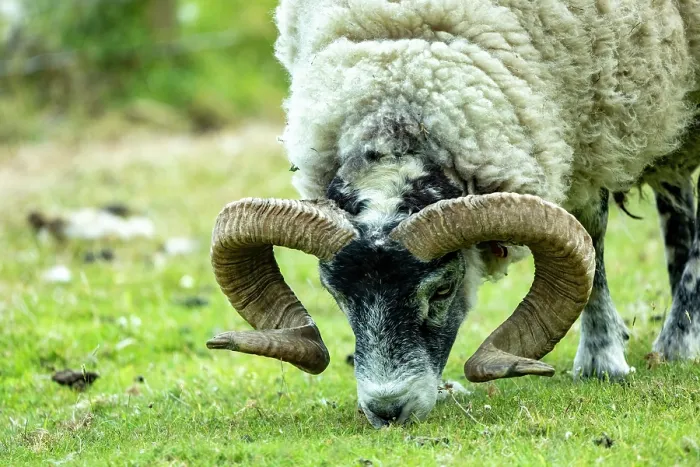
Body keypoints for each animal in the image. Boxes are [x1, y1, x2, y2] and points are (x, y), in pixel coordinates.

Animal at [205, 0, 700, 428]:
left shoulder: (595, 126)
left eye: (442, 290)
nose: (388, 411)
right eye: (335, 294)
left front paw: (602, 360)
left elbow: (591, 234)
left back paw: (679, 342)